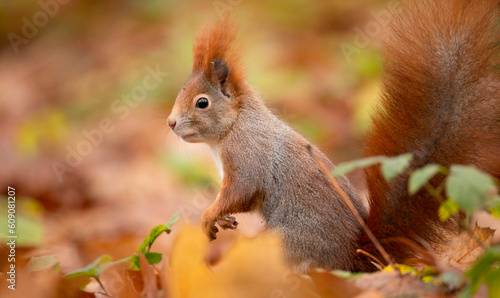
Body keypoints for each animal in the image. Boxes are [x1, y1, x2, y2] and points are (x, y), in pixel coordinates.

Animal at [168, 0, 500, 272]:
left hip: (285, 245)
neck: (235, 126)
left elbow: (241, 191)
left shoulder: (247, 155)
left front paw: (209, 215)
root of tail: (357, 259)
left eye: (202, 102)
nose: (170, 123)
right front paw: (220, 220)